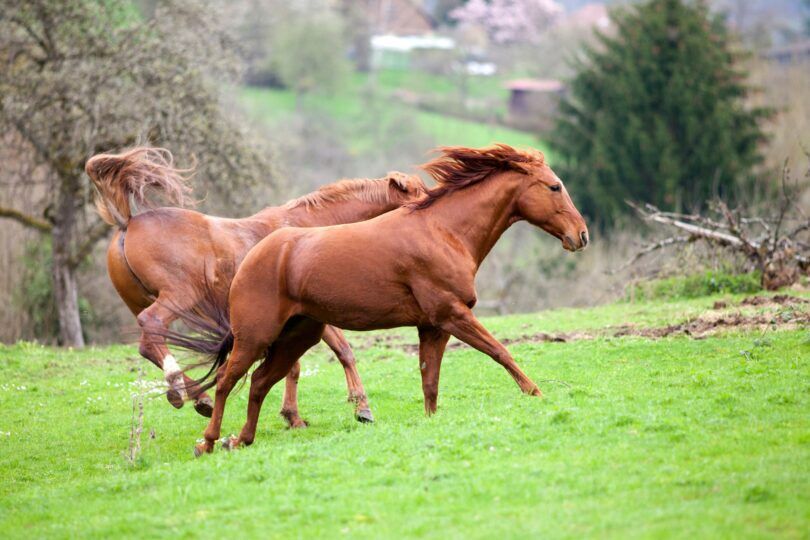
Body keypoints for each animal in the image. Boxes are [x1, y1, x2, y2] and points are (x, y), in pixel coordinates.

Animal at [86, 146, 426, 424]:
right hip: (178, 297)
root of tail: (128, 224)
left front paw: (292, 416)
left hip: (142, 301)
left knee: (149, 343)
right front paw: (361, 407)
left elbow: (295, 365)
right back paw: (180, 388)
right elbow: (342, 352)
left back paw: (198, 397)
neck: (310, 231)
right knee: (152, 328)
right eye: (420, 192)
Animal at [183, 144, 588, 456]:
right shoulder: (453, 315)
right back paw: (208, 442)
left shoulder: (433, 327)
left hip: (298, 336)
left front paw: (429, 420)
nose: (581, 235)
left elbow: (430, 381)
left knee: (259, 381)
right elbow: (500, 351)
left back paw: (241, 440)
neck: (443, 232)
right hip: (256, 335)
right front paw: (536, 394)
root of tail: (252, 256)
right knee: (226, 381)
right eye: (555, 186)